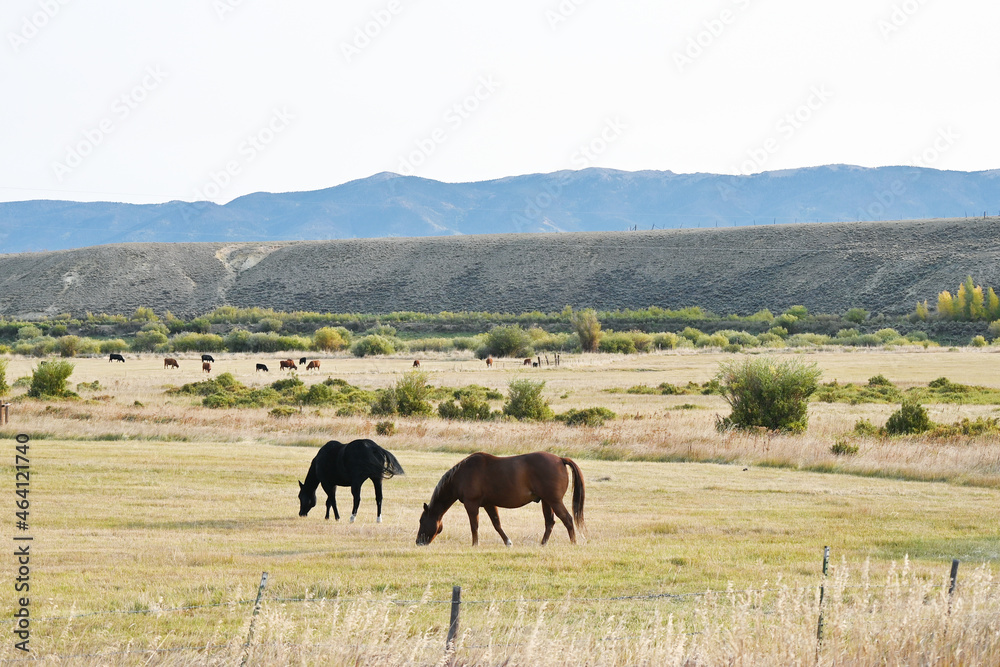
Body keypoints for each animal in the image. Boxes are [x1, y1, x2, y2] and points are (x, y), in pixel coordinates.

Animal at [416, 452, 585, 547]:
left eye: (421, 521)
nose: (418, 542)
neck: (461, 475)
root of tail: (560, 459)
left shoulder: (472, 504)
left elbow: (474, 525)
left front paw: (475, 544)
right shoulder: (489, 504)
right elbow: (497, 524)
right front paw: (508, 542)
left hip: (554, 501)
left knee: (567, 519)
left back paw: (573, 543)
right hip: (546, 501)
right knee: (550, 522)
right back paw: (543, 544)